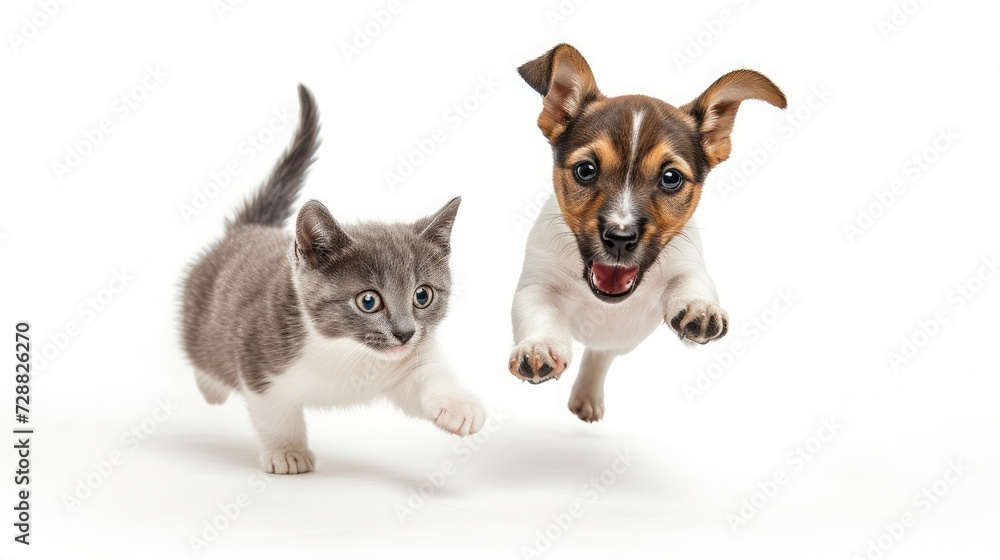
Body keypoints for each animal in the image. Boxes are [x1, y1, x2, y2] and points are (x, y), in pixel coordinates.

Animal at [183, 85, 488, 474]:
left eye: (423, 295)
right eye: (368, 300)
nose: (405, 333)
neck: (346, 352)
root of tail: (248, 228)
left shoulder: (406, 361)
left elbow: (426, 376)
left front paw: (458, 405)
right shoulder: (257, 356)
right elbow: (274, 412)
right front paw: (287, 451)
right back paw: (212, 388)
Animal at [512, 42, 784, 420]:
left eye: (671, 178)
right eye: (585, 170)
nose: (619, 239)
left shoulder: (686, 262)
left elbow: (691, 282)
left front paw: (699, 307)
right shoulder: (537, 284)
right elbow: (540, 313)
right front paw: (541, 346)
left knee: (601, 354)